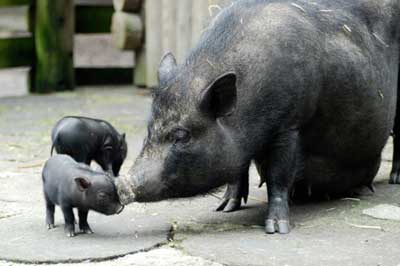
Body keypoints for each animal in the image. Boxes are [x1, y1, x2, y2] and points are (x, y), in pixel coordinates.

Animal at [115, 0, 400, 234]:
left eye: (182, 135)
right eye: (150, 129)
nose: (121, 184)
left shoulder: (290, 124)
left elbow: (278, 176)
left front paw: (276, 229)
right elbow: (238, 170)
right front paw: (224, 208)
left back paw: (394, 180)